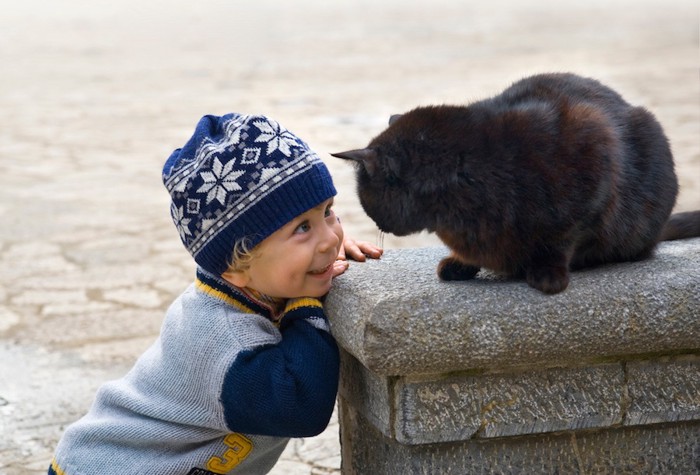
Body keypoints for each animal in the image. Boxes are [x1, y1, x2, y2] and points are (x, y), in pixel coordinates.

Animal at [334, 72, 700, 294]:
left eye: (368, 203)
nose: (380, 225)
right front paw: (462, 262)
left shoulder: (594, 152)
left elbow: (563, 239)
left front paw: (548, 273)